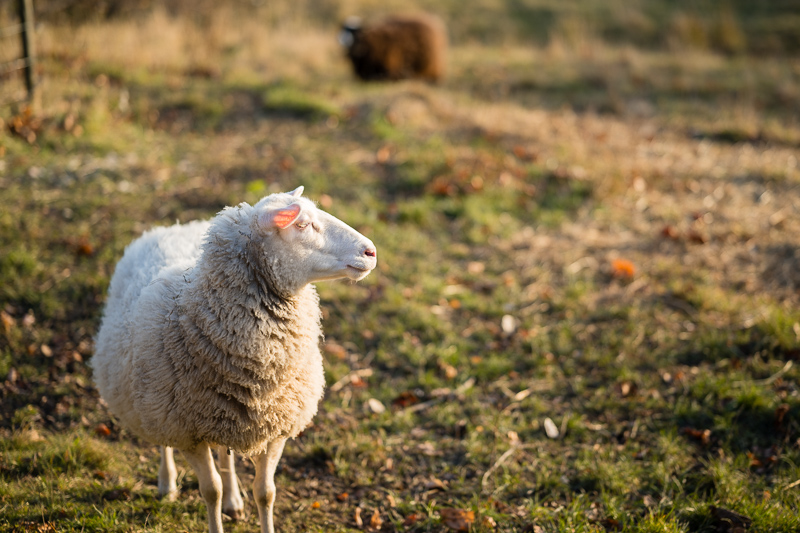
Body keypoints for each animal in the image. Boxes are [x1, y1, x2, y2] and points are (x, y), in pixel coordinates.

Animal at [92, 185, 380, 528]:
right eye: (301, 224)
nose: (371, 252)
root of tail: (174, 226)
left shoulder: (275, 429)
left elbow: (265, 492)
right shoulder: (188, 433)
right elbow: (210, 491)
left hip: (222, 417)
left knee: (225, 457)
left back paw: (233, 501)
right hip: (153, 401)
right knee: (164, 442)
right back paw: (168, 483)